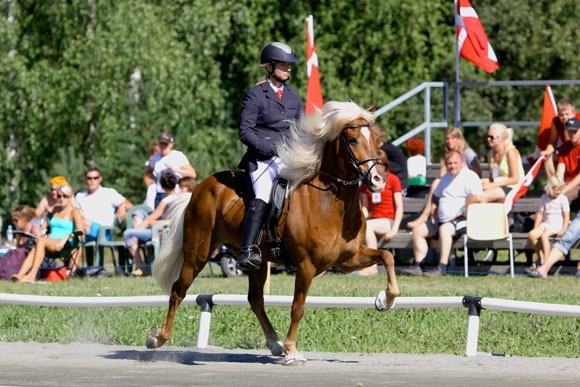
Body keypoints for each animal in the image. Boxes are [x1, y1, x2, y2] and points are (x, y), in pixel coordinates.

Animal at [146, 101, 398, 366]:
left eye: (376, 139)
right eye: (352, 139)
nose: (378, 180)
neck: (329, 202)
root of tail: (199, 188)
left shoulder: (348, 259)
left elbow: (387, 257)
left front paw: (385, 299)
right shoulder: (306, 265)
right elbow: (298, 307)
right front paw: (292, 350)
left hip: (257, 261)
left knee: (255, 299)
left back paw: (274, 343)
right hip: (198, 253)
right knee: (178, 290)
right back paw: (157, 338)